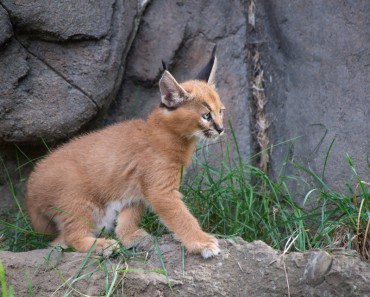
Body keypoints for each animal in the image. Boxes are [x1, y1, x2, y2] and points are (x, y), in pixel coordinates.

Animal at [26, 47, 224, 258]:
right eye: (206, 115)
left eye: (221, 111)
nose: (221, 129)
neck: (169, 135)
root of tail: (30, 189)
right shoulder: (161, 190)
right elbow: (181, 217)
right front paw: (201, 242)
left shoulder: (134, 189)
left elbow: (130, 216)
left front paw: (130, 236)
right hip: (77, 201)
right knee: (70, 238)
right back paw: (102, 245)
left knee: (57, 242)